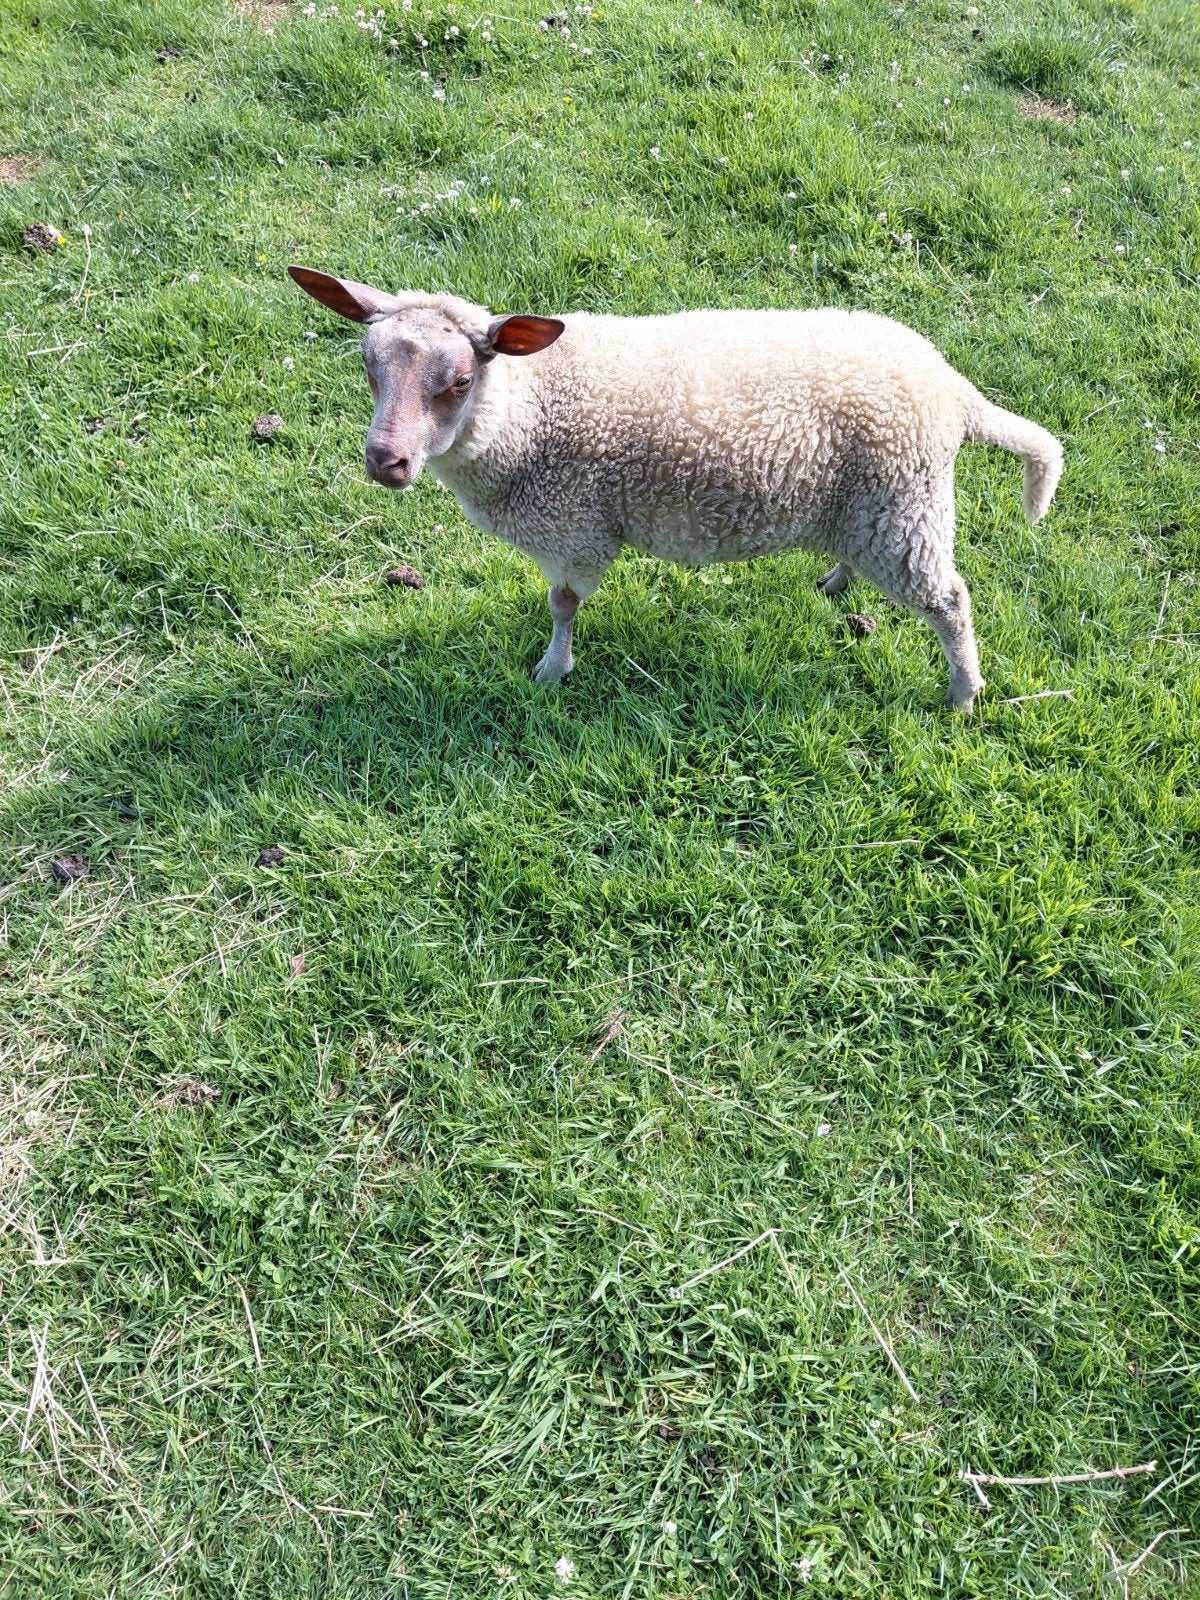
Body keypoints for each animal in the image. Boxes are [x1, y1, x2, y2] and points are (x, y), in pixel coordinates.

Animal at [288, 266, 1063, 712]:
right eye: (368, 367)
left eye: (457, 382)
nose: (385, 462)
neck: (530, 408)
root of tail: (951, 388)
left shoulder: (576, 528)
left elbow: (563, 605)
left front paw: (552, 670)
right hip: (873, 505)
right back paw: (838, 580)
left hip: (903, 501)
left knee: (949, 600)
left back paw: (963, 695)